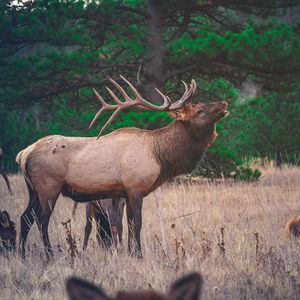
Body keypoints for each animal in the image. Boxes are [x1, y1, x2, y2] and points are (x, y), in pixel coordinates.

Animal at [15, 76, 227, 258]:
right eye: (199, 111)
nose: (224, 103)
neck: (159, 156)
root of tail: (23, 155)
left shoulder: (124, 192)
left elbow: (128, 224)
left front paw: (130, 252)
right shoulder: (135, 187)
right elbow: (137, 224)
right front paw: (139, 255)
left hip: (33, 190)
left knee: (25, 218)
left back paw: (22, 254)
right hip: (49, 186)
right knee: (41, 220)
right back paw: (49, 255)